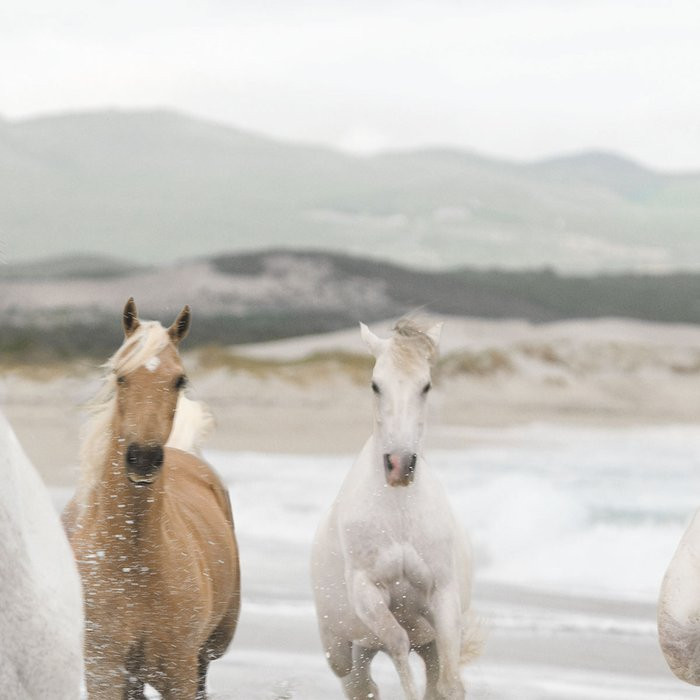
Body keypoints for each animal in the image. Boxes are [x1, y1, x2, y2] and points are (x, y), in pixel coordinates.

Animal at [63, 298, 240, 700]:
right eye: (120, 376)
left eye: (180, 379)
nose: (142, 457)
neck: (134, 566)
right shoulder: (104, 671)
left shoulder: (179, 672)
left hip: (204, 656)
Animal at [311, 319, 480, 700]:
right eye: (376, 385)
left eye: (426, 385)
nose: (399, 465)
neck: (399, 513)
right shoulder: (368, 592)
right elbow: (398, 643)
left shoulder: (442, 595)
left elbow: (450, 683)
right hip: (344, 649)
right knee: (361, 683)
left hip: (423, 643)